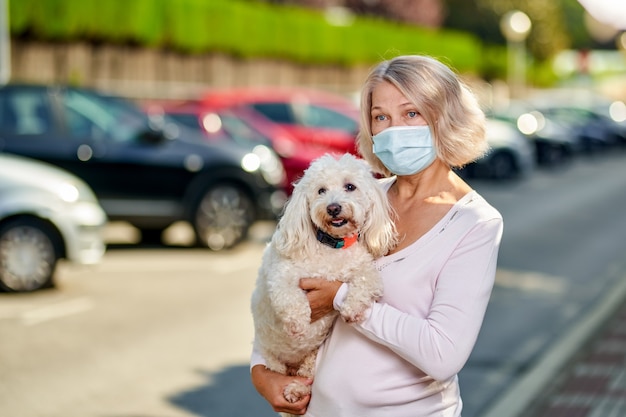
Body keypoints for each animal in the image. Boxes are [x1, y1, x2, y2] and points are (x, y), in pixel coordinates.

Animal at [249, 152, 394, 406]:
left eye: (350, 187)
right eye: (321, 190)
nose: (333, 208)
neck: (331, 246)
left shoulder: (365, 269)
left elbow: (366, 281)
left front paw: (352, 309)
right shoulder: (281, 275)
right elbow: (290, 297)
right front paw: (298, 323)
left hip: (310, 359)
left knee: (305, 375)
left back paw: (297, 389)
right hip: (272, 358)